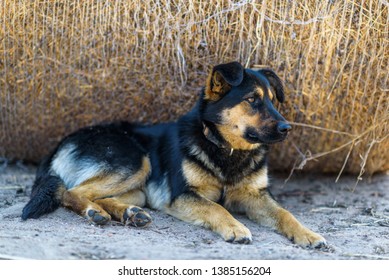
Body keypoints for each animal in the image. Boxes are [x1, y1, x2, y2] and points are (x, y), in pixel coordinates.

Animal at [21, 61, 324, 247]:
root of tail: (61, 142)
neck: (226, 149)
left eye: (273, 101)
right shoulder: (182, 195)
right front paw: (235, 227)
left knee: (97, 195)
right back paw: (95, 213)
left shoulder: (256, 196)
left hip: (138, 188)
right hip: (135, 160)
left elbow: (285, 213)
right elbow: (216, 207)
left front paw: (308, 233)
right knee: (70, 192)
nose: (287, 128)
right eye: (252, 99)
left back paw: (129, 214)